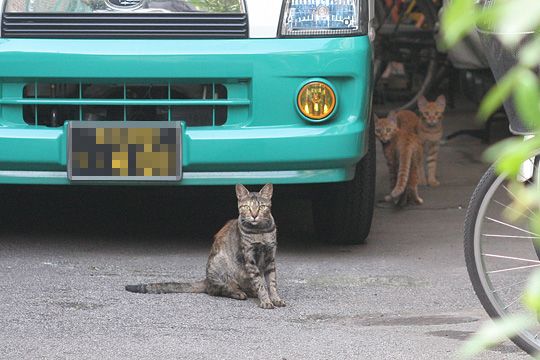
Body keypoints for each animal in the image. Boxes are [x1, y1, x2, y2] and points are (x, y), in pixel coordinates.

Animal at [125, 184, 286, 308]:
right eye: (246, 207)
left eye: (262, 206)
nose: (254, 215)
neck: (260, 231)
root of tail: (206, 280)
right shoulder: (250, 259)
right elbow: (260, 283)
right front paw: (265, 300)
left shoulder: (270, 258)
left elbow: (272, 282)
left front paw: (275, 299)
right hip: (219, 265)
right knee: (217, 290)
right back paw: (238, 292)